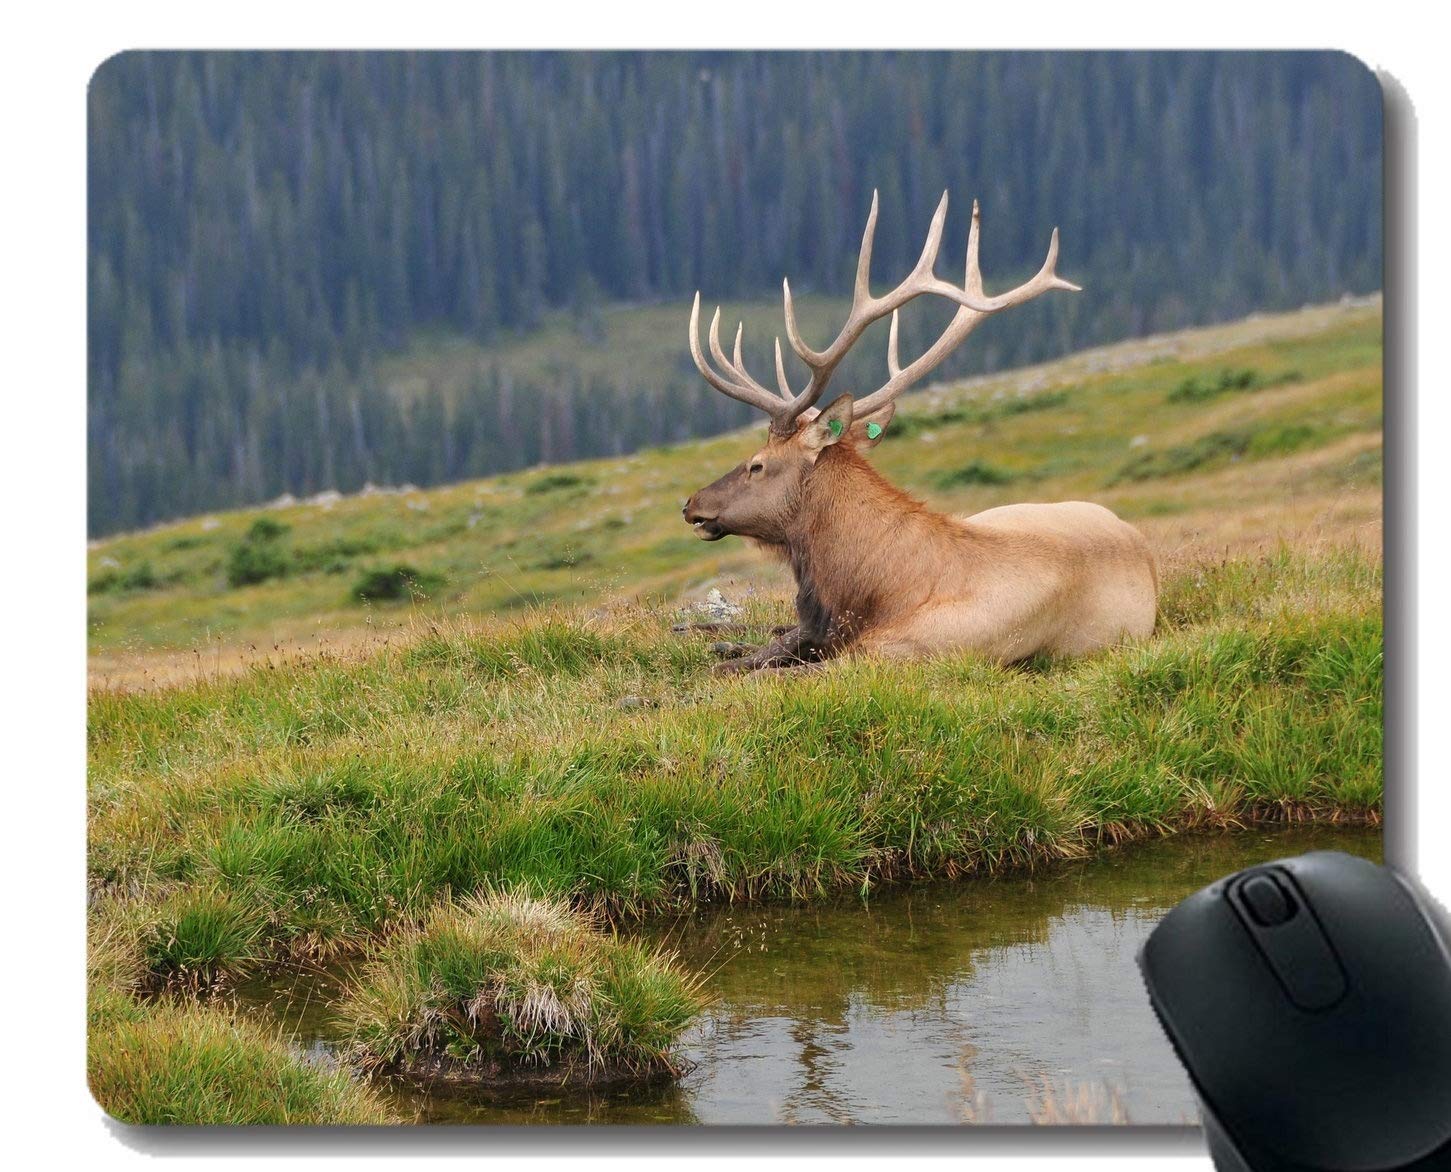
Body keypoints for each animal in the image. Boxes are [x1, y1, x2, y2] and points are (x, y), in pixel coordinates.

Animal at [680, 191, 1157, 672]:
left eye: (757, 465)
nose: (691, 504)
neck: (872, 593)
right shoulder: (814, 631)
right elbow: (744, 659)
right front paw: (720, 643)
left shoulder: (891, 655)